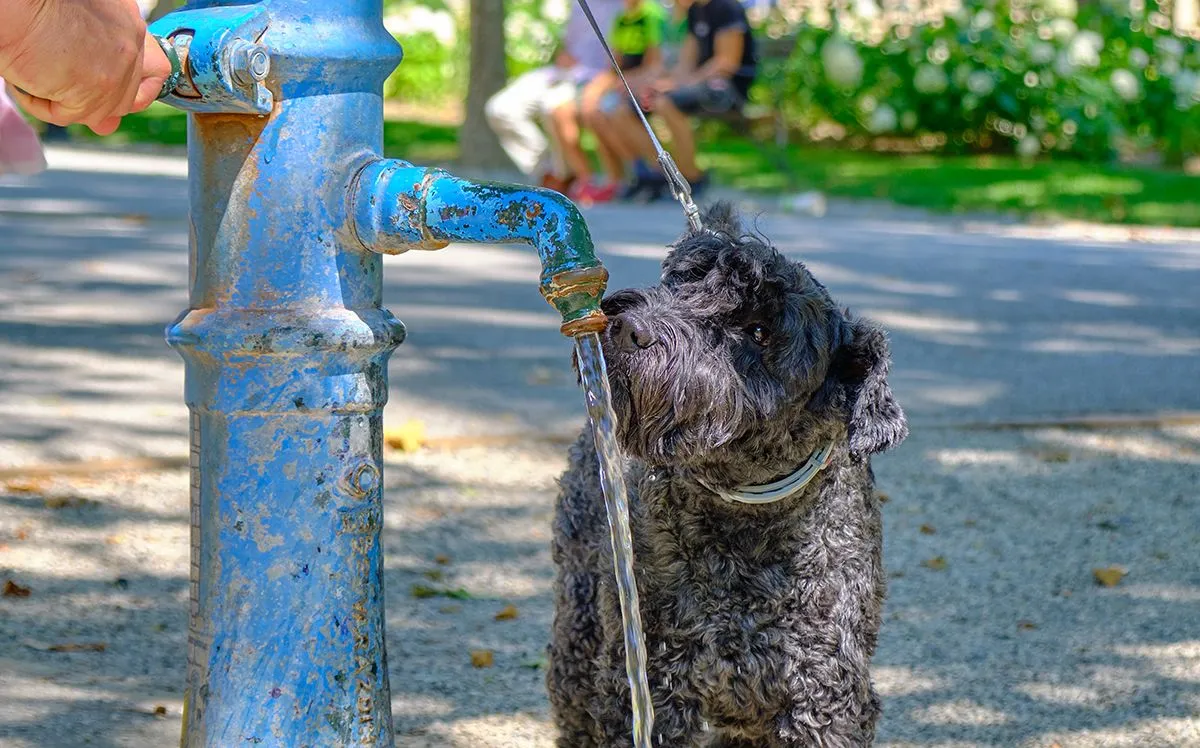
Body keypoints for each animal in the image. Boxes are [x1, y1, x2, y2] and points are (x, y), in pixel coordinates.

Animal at [549, 201, 902, 744]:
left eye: (758, 331)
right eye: (685, 279)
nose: (630, 327)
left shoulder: (822, 695)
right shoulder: (655, 685)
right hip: (582, 626)